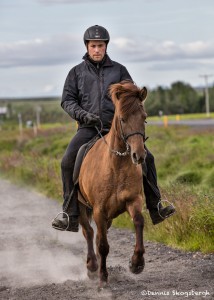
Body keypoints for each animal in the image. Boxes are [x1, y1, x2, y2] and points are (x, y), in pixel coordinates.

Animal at [77, 79, 148, 286]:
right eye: (122, 119)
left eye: (144, 118)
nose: (139, 155)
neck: (116, 167)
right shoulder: (99, 210)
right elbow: (102, 245)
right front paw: (102, 278)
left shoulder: (133, 200)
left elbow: (139, 222)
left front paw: (136, 263)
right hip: (82, 206)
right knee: (89, 233)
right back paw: (92, 266)